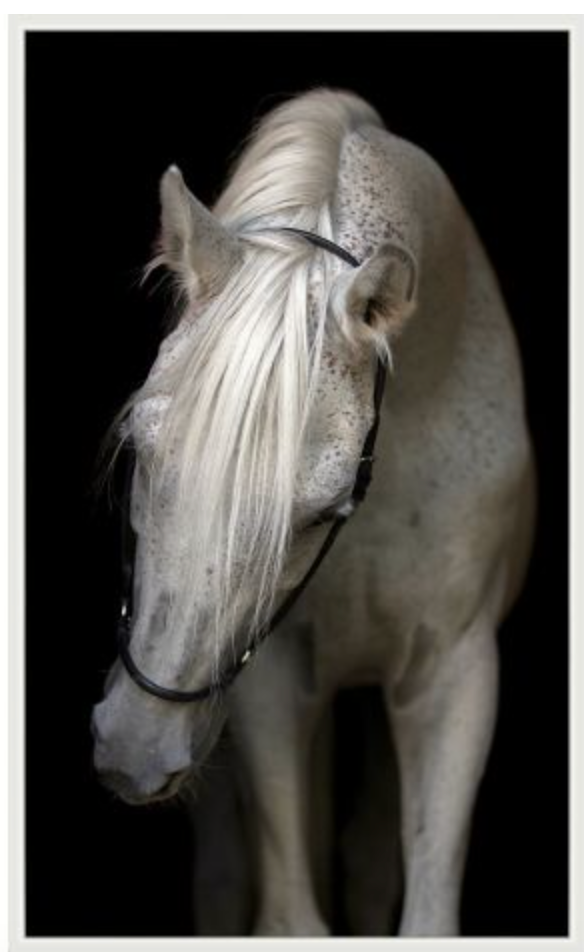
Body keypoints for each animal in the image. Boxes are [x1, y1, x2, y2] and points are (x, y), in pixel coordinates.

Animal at [91, 88, 535, 937]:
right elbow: (291, 913)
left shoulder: (454, 674)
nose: (134, 747)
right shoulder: (272, 677)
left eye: (326, 507)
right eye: (140, 447)